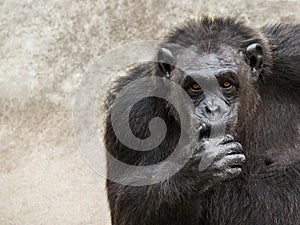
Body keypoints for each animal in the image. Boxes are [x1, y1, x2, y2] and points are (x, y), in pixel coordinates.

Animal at [103, 17, 300, 225]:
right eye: (195, 86)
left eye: (226, 84)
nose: (212, 109)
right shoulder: (131, 111)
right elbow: (127, 206)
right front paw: (197, 166)